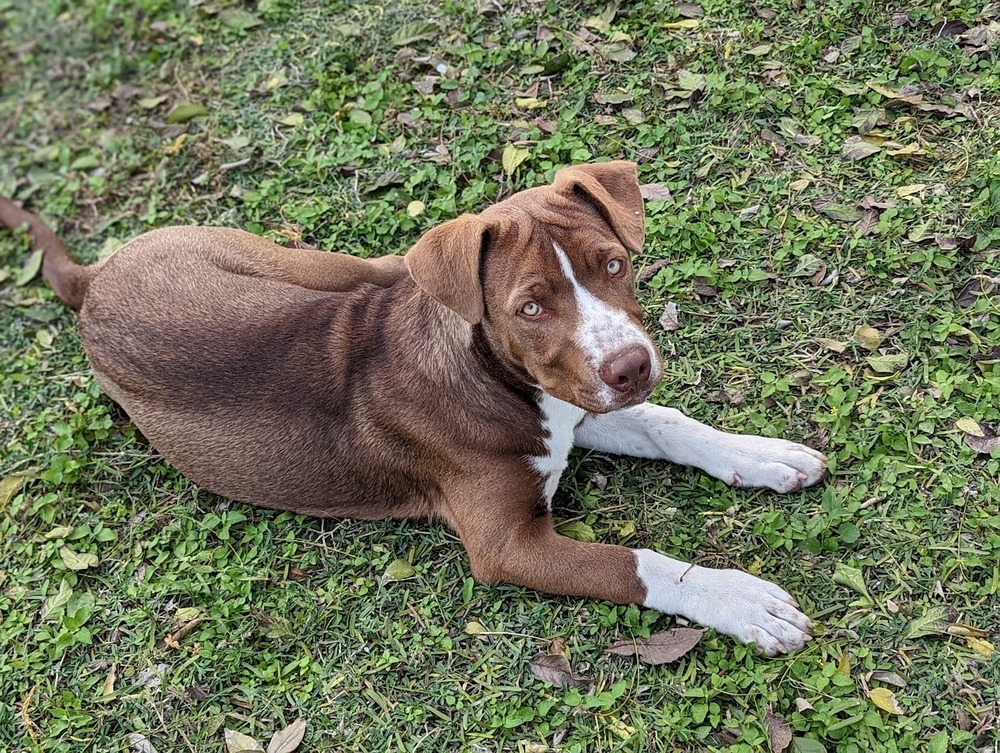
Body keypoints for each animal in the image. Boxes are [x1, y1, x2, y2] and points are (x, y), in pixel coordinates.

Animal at [0, 162, 828, 656]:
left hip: (312, 263)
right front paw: (741, 597)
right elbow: (633, 562)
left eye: (614, 264)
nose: (632, 366)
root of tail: (95, 280)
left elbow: (667, 422)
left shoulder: (576, 400)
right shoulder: (508, 544)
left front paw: (760, 453)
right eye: (531, 306)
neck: (492, 374)